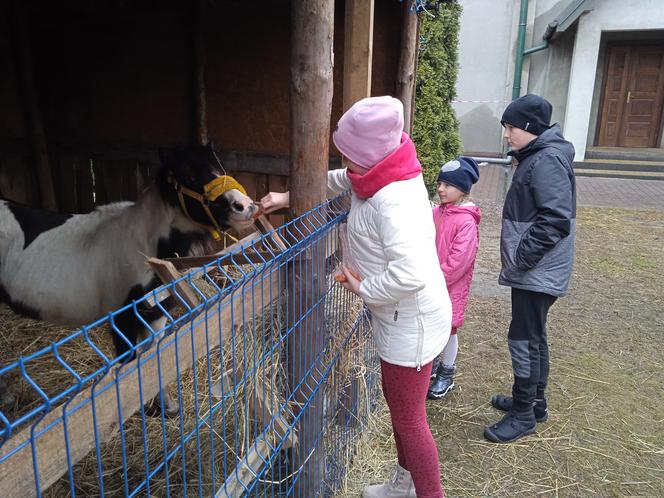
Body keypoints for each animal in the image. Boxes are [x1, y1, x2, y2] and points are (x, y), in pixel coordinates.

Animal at [0, 143, 258, 412]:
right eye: (188, 174)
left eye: (219, 165)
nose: (245, 206)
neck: (146, 248)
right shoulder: (121, 320)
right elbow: (128, 370)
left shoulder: (155, 315)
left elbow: (153, 357)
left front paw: (166, 407)